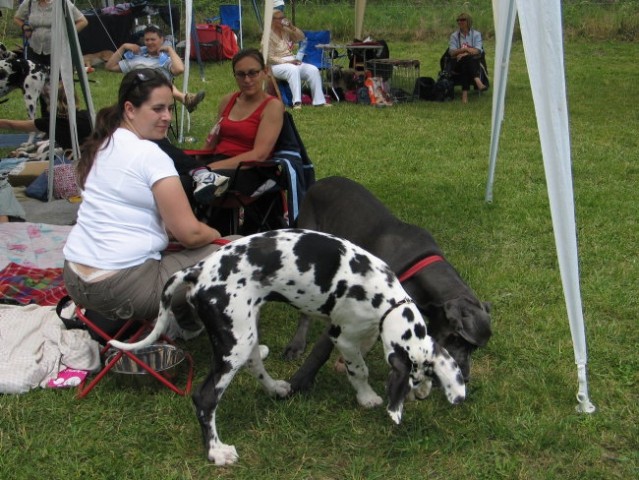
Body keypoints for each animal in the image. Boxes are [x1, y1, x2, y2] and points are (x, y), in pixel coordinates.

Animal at [111, 231, 464, 466]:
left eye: (427, 376)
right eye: (413, 380)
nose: (422, 394)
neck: (386, 299)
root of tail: (196, 270)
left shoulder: (364, 332)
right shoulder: (342, 335)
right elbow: (359, 369)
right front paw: (366, 398)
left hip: (246, 331)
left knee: (255, 362)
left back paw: (276, 389)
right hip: (233, 343)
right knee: (205, 397)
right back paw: (216, 452)